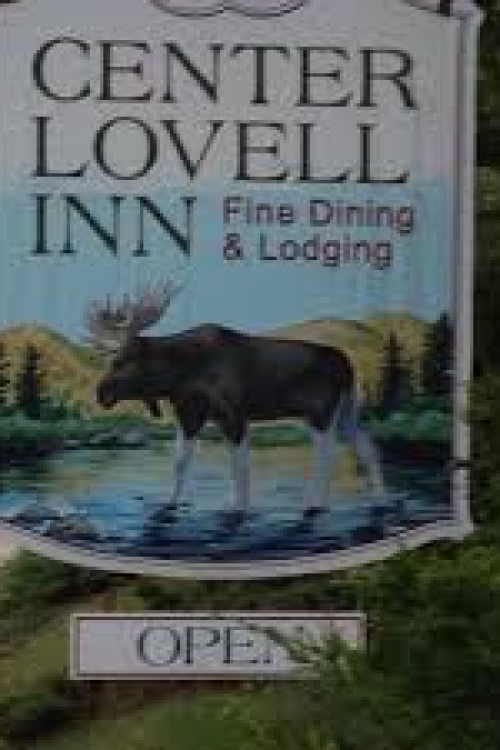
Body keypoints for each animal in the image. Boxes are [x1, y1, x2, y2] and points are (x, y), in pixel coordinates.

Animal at [86, 284, 385, 519]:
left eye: (121, 361)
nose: (100, 393)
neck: (179, 376)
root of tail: (348, 366)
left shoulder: (233, 415)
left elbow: (239, 465)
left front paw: (239, 508)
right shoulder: (190, 415)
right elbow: (180, 462)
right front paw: (170, 504)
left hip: (319, 414)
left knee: (327, 454)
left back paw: (315, 505)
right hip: (346, 412)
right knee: (366, 447)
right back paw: (378, 500)